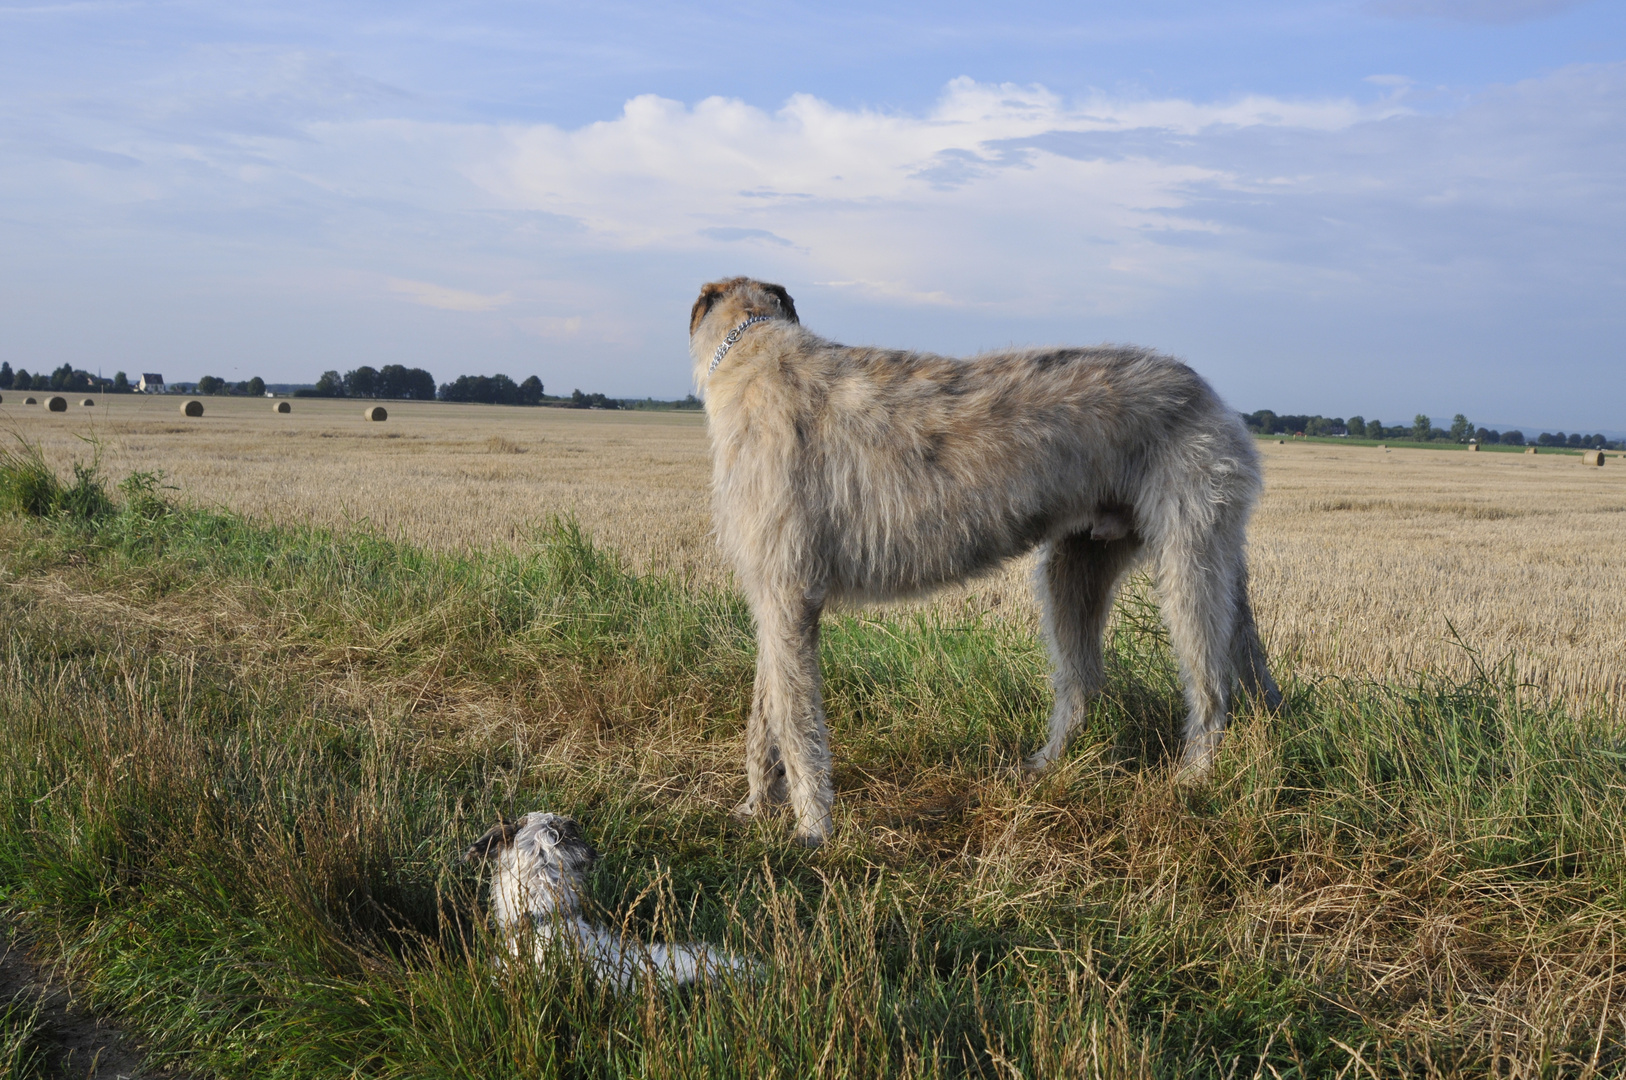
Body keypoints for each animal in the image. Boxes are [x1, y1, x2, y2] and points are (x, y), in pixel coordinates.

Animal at [692, 276, 1274, 845]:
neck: (753, 348)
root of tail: (1210, 395)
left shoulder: (790, 592)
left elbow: (796, 722)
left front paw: (813, 829)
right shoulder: (773, 598)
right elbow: (766, 711)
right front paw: (757, 806)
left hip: (1191, 555)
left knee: (1209, 680)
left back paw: (1194, 776)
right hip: (1079, 564)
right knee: (1083, 679)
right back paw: (1044, 767)